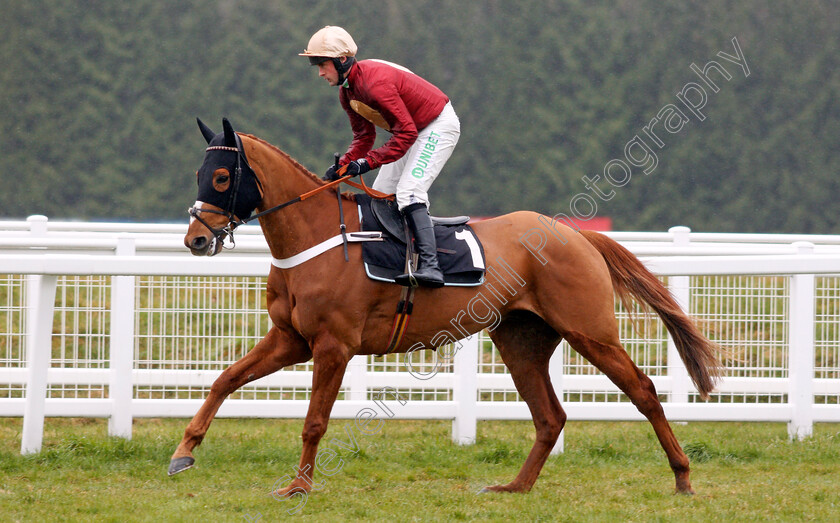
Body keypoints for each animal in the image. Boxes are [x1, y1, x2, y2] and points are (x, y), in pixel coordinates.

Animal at [172, 116, 720, 498]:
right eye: (197, 172)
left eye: (221, 178)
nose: (195, 239)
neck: (317, 238)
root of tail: (577, 235)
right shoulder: (291, 340)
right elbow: (225, 379)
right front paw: (183, 452)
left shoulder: (333, 346)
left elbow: (314, 421)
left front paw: (299, 487)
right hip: (520, 340)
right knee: (551, 416)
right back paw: (516, 487)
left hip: (590, 330)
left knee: (643, 391)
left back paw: (683, 477)